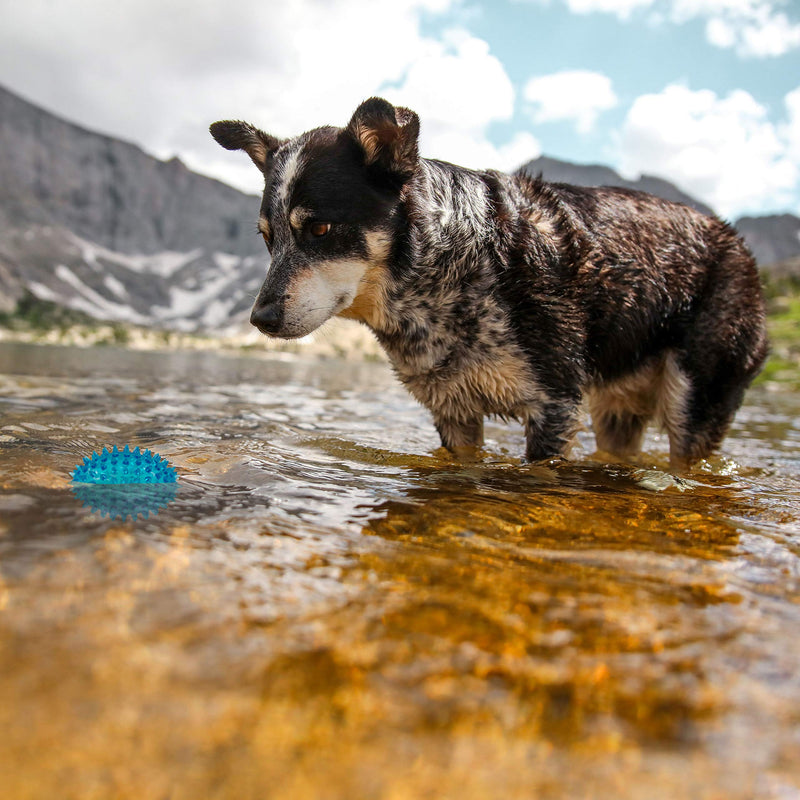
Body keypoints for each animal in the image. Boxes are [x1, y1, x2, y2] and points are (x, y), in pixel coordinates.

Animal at [211, 97, 768, 468]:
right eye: (268, 239)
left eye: (321, 230)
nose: (260, 318)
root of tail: (737, 243)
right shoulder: (453, 412)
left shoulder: (554, 407)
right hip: (616, 412)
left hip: (694, 400)